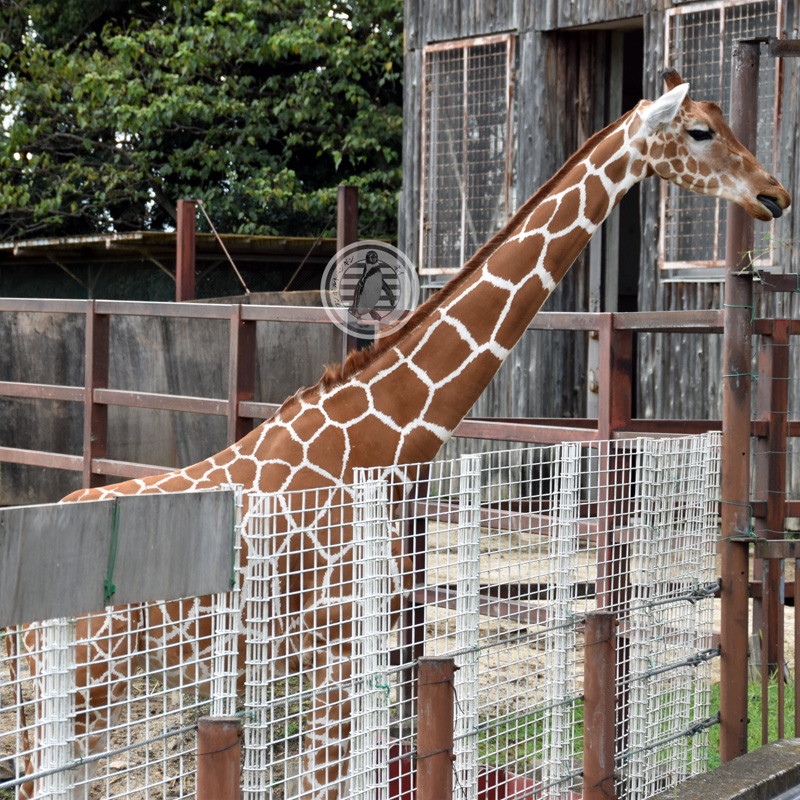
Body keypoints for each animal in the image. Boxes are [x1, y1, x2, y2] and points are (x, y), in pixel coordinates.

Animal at [18, 69, 790, 799]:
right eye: (699, 131)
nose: (774, 194)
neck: (380, 446)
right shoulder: (330, 649)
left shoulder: (365, 651)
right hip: (75, 685)